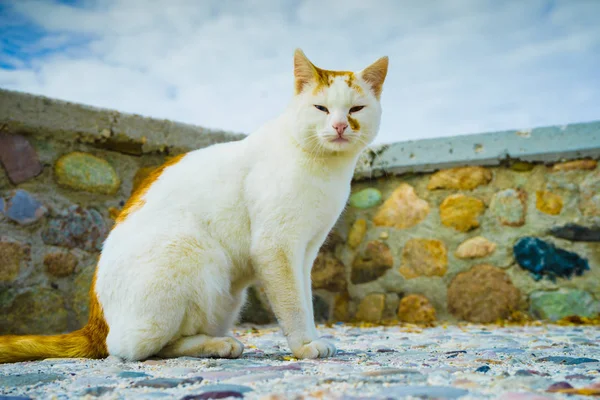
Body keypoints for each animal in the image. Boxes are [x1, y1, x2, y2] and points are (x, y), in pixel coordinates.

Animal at [1, 49, 390, 362]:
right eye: (321, 108)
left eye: (355, 109)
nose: (339, 126)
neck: (326, 169)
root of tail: (96, 323)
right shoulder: (277, 248)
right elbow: (294, 305)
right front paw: (305, 346)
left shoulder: (306, 252)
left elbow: (306, 301)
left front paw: (311, 337)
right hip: (191, 250)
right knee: (133, 348)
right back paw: (216, 345)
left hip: (226, 294)